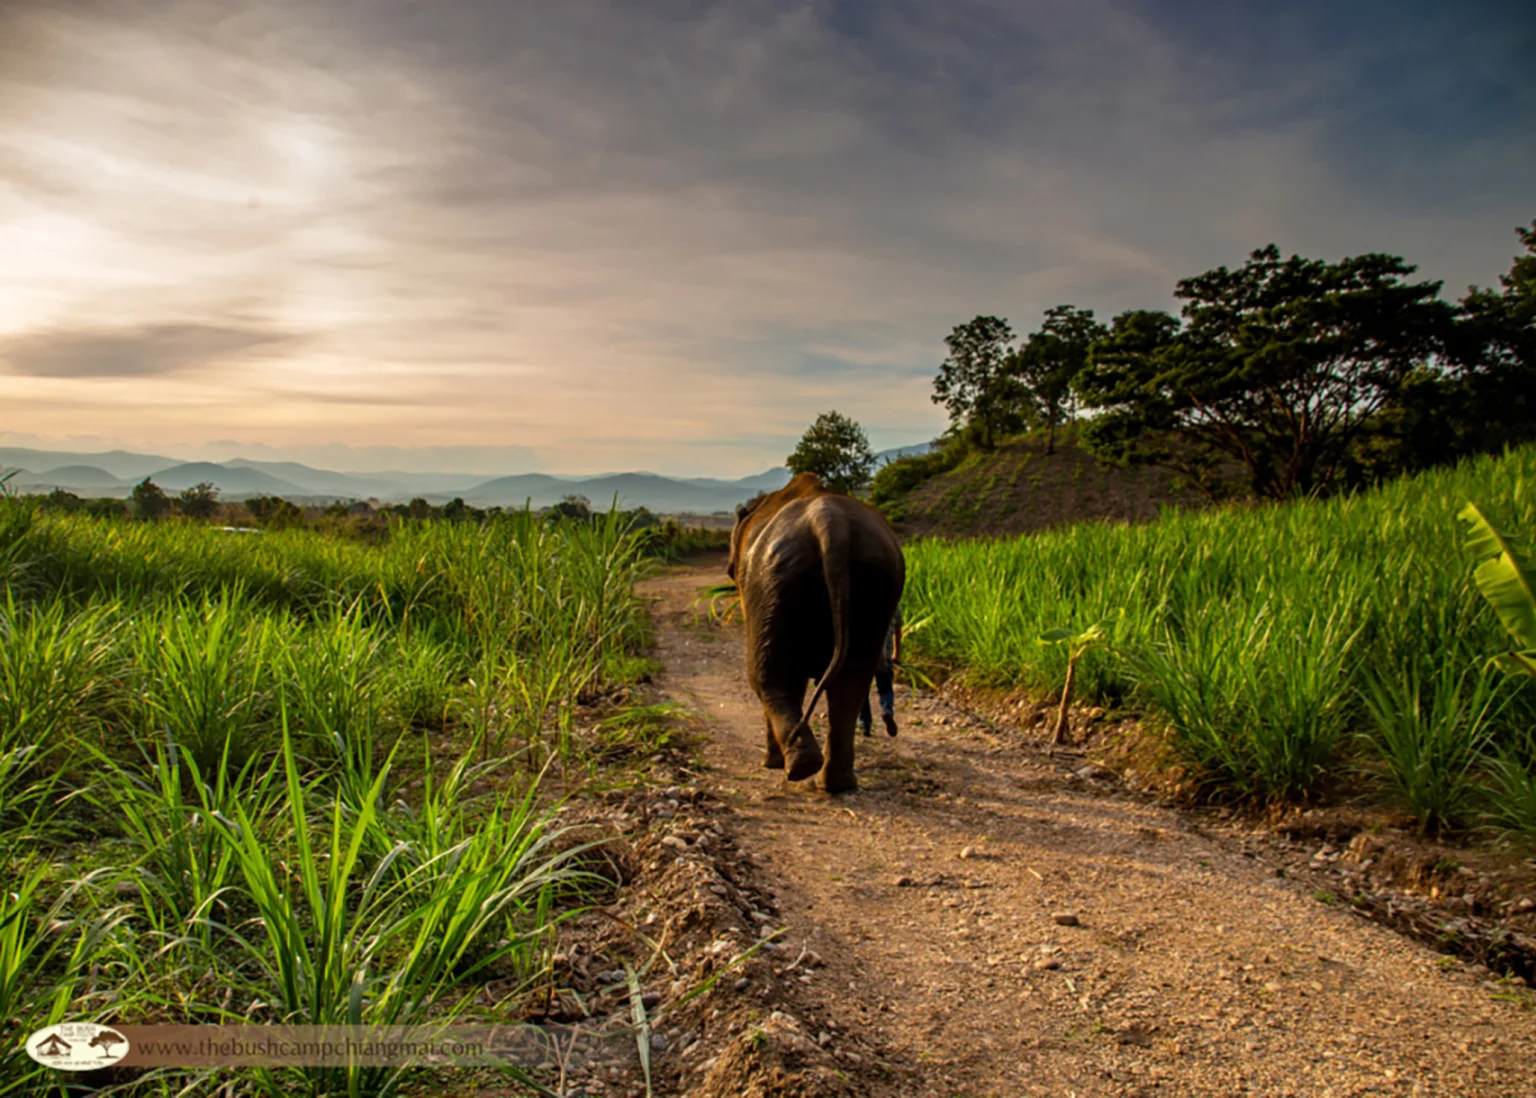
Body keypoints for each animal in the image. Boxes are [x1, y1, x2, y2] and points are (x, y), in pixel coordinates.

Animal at [727, 472, 905, 793]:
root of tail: (831, 526)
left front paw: (771, 764)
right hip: (875, 580)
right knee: (851, 683)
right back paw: (835, 782)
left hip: (773, 580)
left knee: (766, 677)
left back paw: (800, 766)